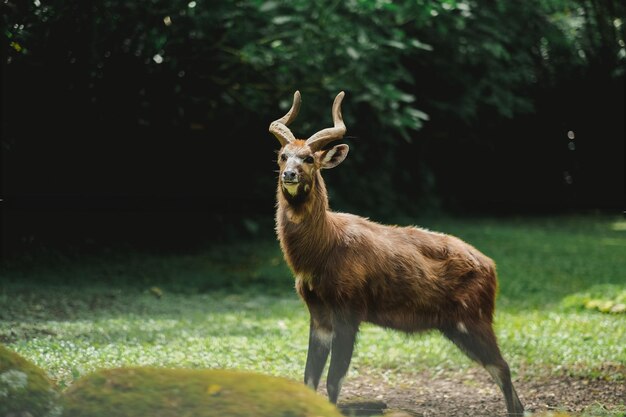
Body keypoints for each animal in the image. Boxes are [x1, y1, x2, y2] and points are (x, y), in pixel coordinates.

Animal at [266, 89, 520, 414]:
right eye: (283, 155)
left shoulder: (350, 310)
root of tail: (491, 267)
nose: (289, 175)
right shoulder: (319, 313)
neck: (324, 248)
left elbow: (334, 381)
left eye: (309, 158)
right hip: (457, 325)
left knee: (502, 368)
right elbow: (309, 378)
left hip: (473, 320)